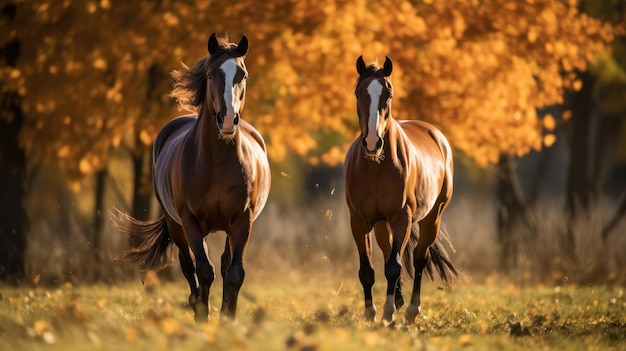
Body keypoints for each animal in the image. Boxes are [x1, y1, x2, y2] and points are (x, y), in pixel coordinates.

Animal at [113, 34, 270, 324]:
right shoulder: (190, 221)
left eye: (242, 74)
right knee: (189, 266)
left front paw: (229, 318)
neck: (216, 162)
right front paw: (202, 316)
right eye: (210, 75)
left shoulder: (243, 220)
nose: (228, 120)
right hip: (177, 226)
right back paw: (196, 302)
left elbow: (235, 272)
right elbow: (203, 270)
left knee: (224, 262)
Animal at [344, 56, 456, 326]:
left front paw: (386, 314)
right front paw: (370, 315)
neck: (375, 167)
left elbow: (394, 267)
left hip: (432, 218)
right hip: (382, 225)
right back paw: (398, 301)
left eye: (389, 93)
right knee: (388, 254)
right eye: (358, 93)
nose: (372, 143)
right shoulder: (359, 221)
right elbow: (368, 270)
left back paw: (410, 312)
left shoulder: (401, 217)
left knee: (418, 258)